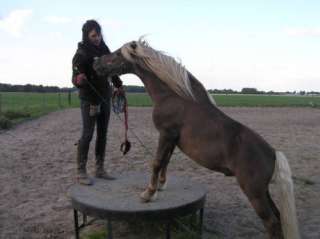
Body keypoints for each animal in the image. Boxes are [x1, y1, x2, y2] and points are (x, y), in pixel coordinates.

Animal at [92, 38, 300, 238]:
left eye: (117, 53)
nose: (96, 63)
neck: (173, 97)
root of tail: (273, 153)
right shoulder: (171, 139)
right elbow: (166, 161)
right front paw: (161, 186)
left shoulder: (166, 134)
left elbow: (157, 162)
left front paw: (148, 194)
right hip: (263, 191)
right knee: (279, 218)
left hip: (254, 192)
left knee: (272, 222)